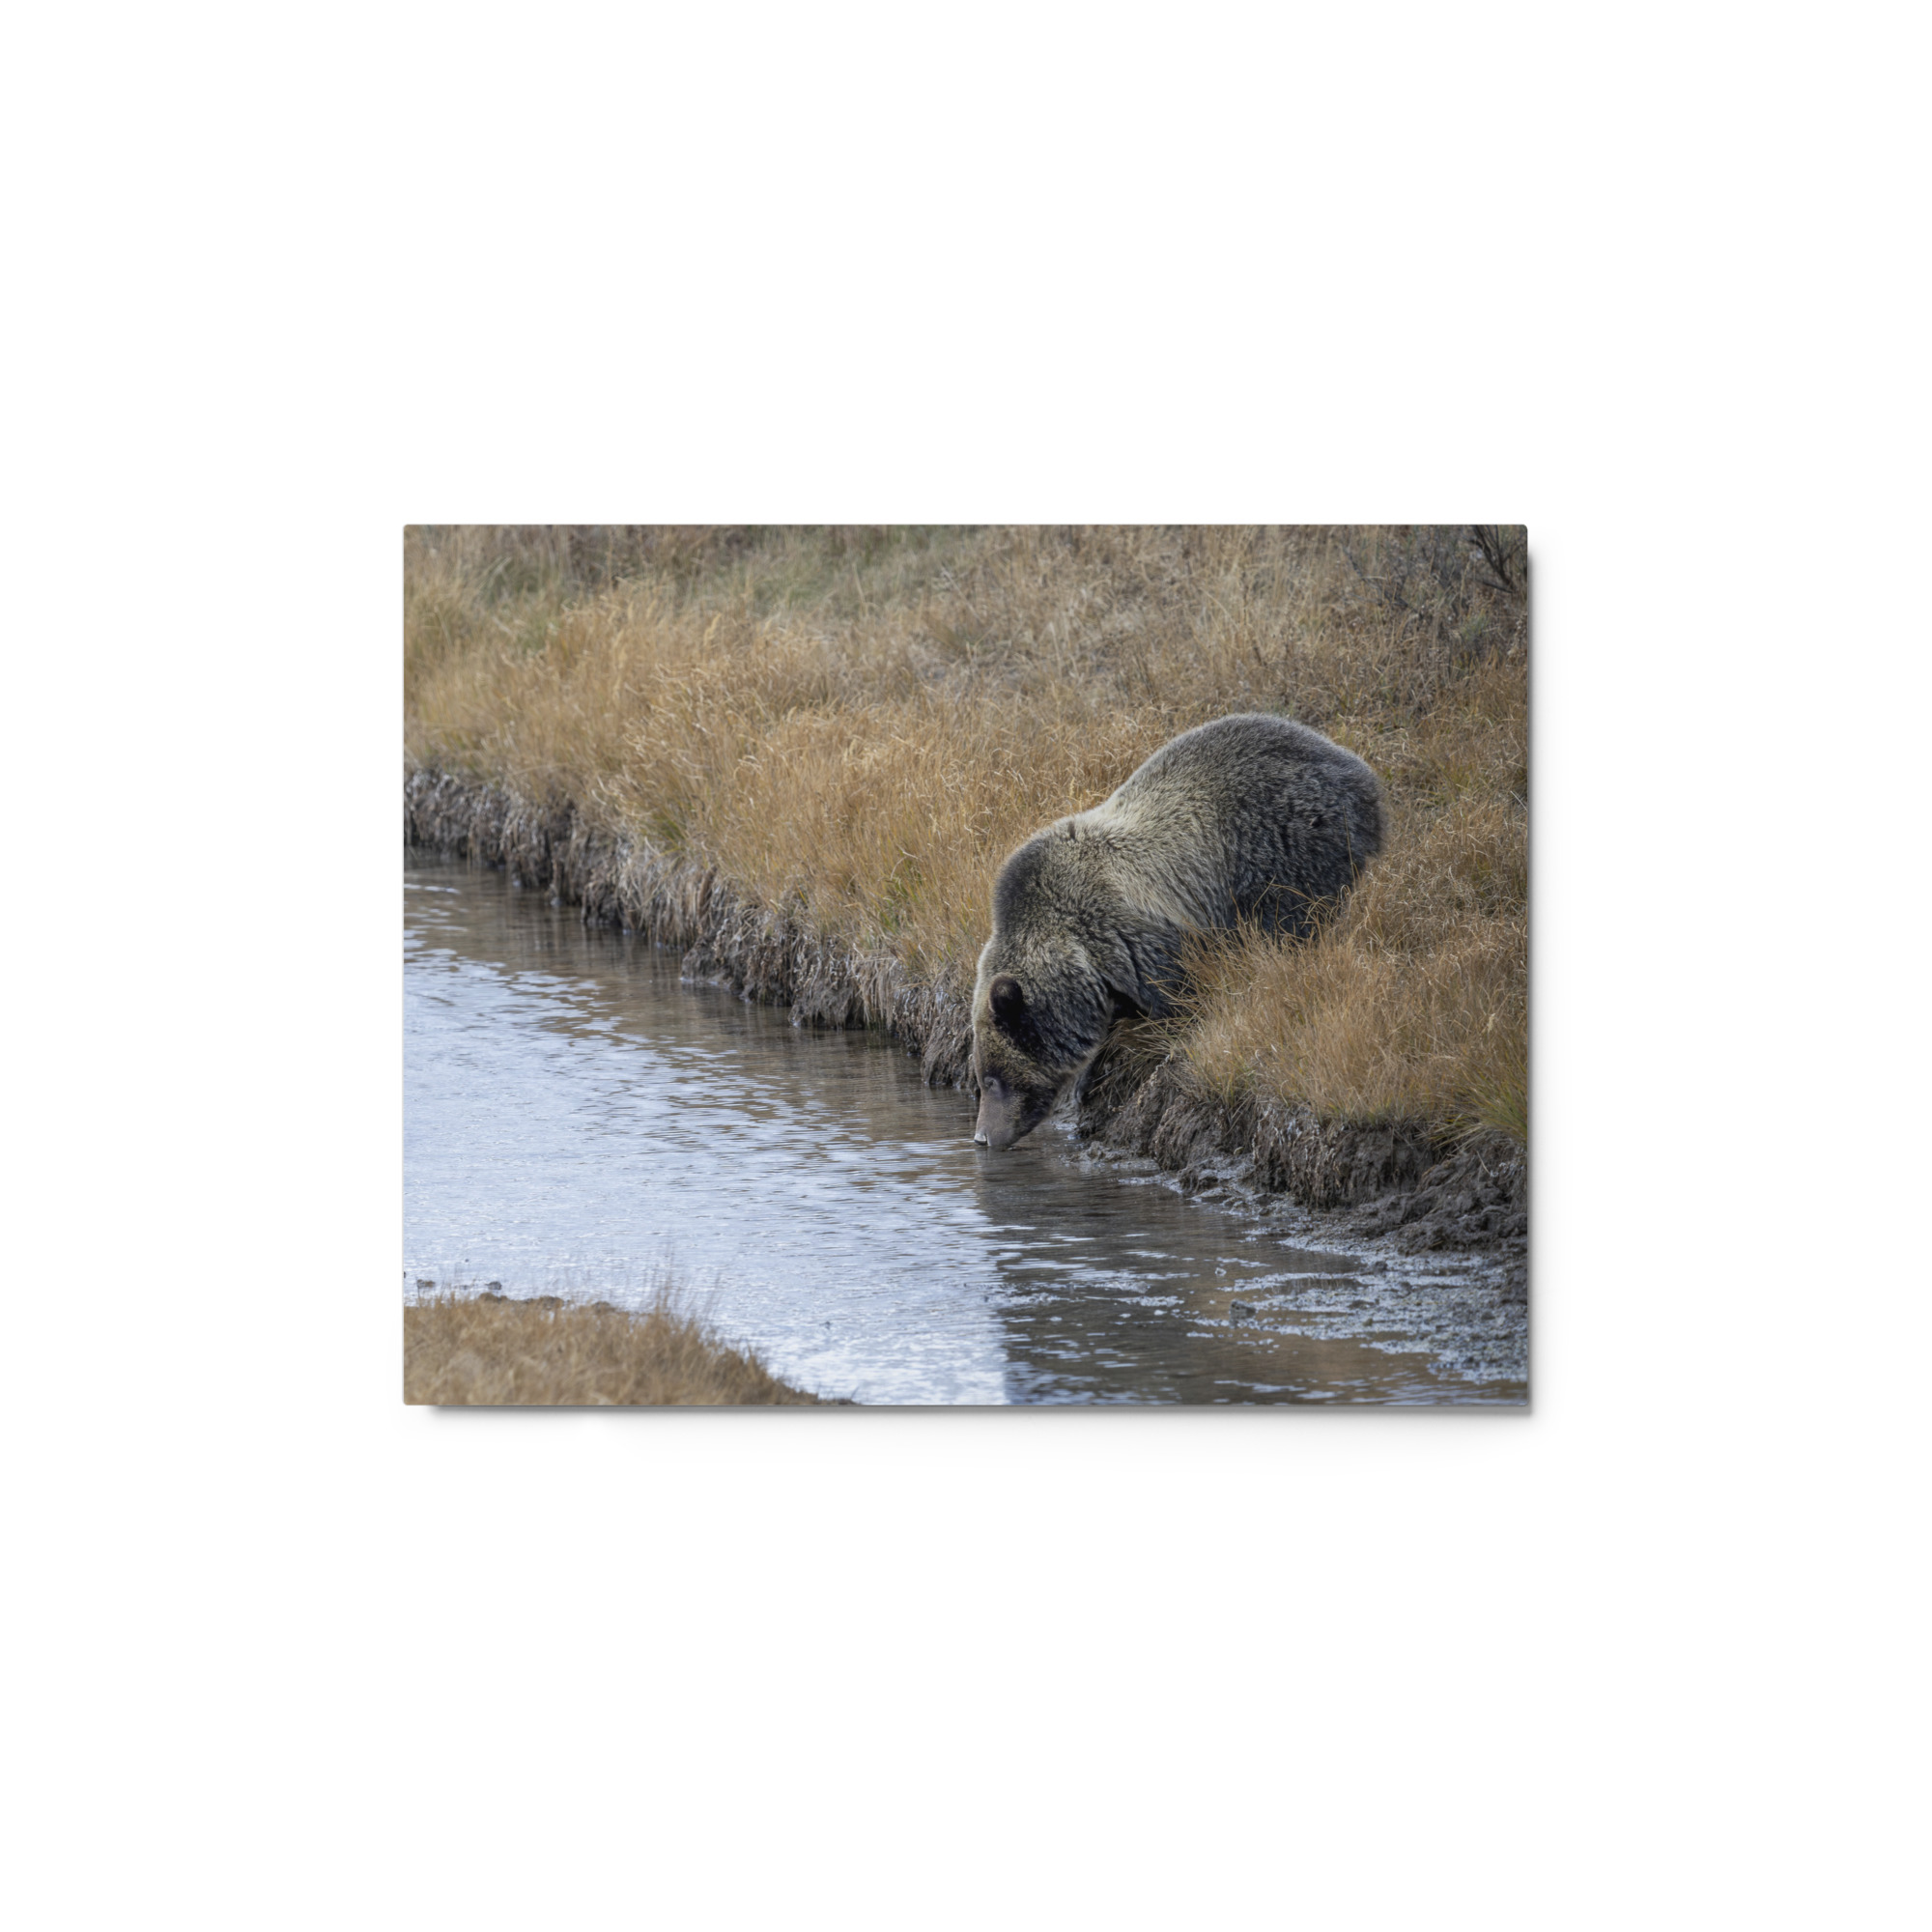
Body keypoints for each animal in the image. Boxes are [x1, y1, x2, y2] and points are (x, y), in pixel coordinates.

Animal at [971, 713, 1384, 1150]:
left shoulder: (1135, 937)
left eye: (992, 1079)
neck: (1078, 955)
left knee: (1292, 920)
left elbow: (1177, 997)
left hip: (1285, 843)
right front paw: (1089, 1077)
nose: (981, 1136)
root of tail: (1358, 769)